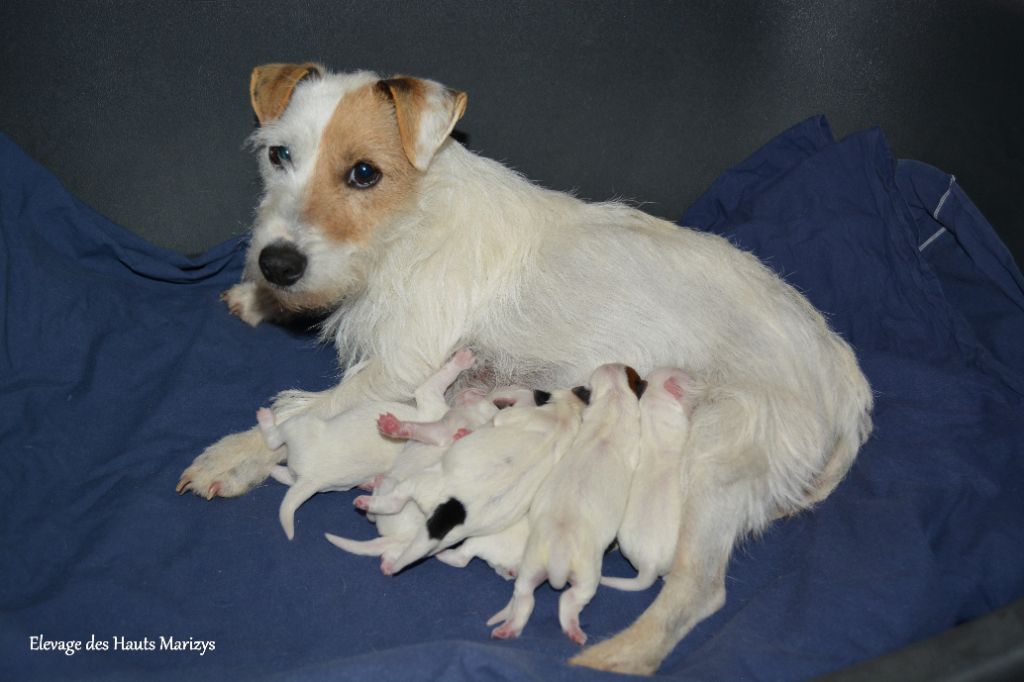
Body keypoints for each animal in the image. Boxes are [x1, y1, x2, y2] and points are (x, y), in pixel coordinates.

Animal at [489, 360, 647, 643]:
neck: (613, 402)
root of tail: (558, 558)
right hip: (587, 575)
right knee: (568, 601)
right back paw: (574, 631)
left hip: (531, 566)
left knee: (525, 598)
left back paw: (509, 628)